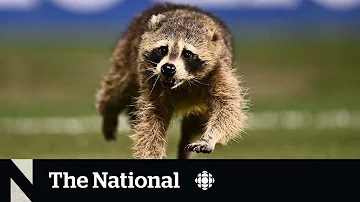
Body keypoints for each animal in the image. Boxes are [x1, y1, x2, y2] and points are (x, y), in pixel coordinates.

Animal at [95, 2, 248, 159]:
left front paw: (210, 138)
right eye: (163, 49)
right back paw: (108, 113)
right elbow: (150, 123)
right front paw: (150, 154)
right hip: (127, 53)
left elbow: (229, 107)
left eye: (187, 53)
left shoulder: (219, 70)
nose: (168, 68)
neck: (183, 83)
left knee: (195, 125)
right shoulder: (151, 83)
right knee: (117, 88)